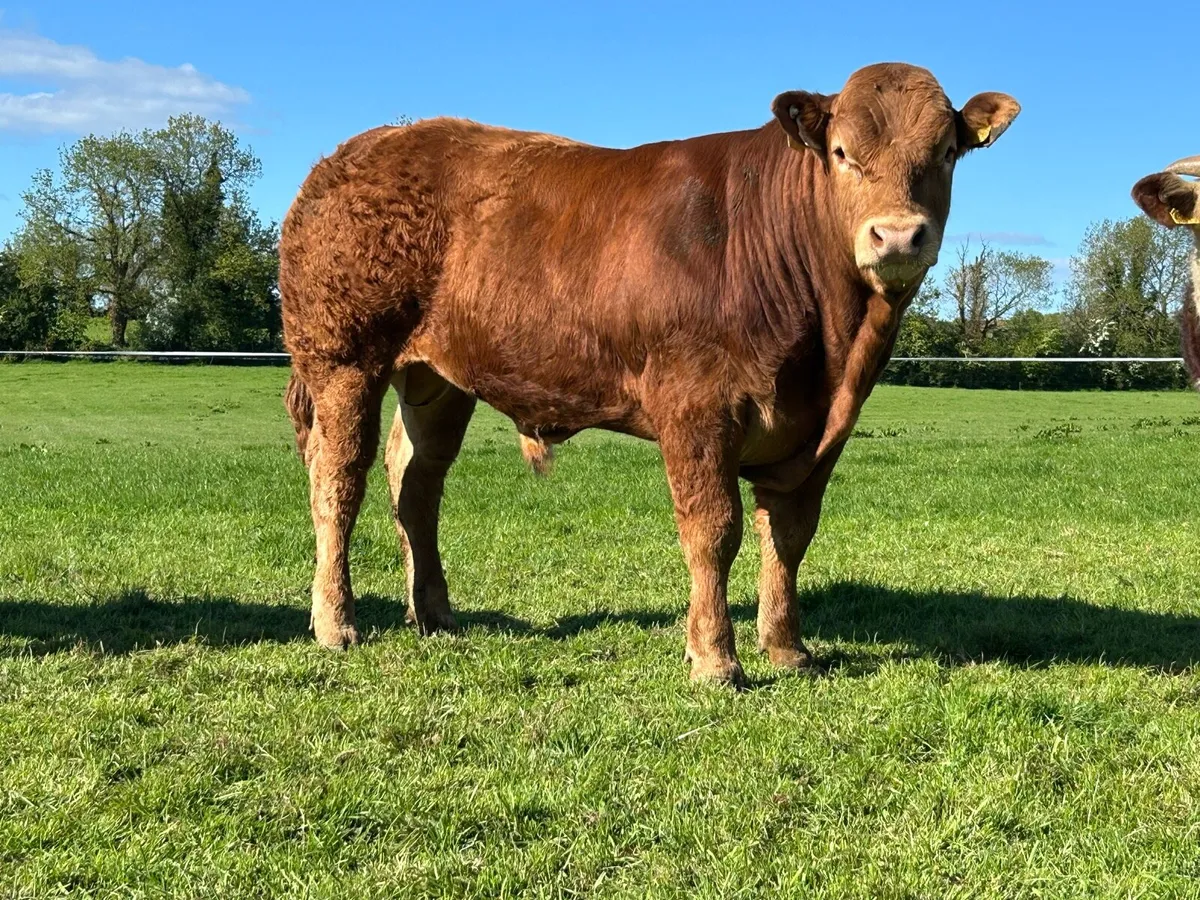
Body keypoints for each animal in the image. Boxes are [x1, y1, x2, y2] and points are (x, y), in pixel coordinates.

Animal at [280, 62, 1020, 686]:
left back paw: (433, 613)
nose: (897, 236)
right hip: (343, 357)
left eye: (946, 153)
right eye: (841, 152)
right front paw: (715, 659)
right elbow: (713, 531)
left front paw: (786, 648)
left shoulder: (819, 434)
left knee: (415, 482)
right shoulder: (696, 406)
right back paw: (337, 622)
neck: (834, 350)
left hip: (438, 379)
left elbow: (789, 534)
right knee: (337, 480)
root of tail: (357, 150)